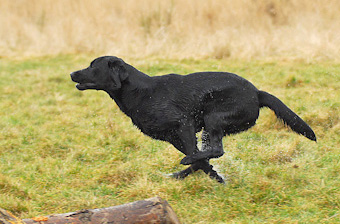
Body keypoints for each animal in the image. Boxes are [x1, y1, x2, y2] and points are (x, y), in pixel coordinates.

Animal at [70, 55, 318, 182]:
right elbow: (202, 162)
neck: (141, 92)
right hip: (210, 127)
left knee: (217, 149)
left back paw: (184, 166)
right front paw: (217, 178)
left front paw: (195, 171)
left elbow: (197, 157)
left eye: (93, 66)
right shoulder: (173, 137)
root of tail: (257, 93)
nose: (72, 73)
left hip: (213, 117)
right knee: (210, 151)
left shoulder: (184, 124)